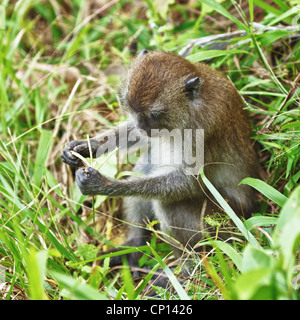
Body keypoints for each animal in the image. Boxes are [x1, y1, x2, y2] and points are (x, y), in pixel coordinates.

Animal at [61, 50, 260, 276]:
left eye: (154, 114)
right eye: (133, 109)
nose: (142, 126)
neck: (191, 107)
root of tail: (249, 210)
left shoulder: (202, 130)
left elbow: (191, 183)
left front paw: (104, 184)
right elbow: (136, 137)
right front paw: (85, 146)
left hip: (223, 225)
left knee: (168, 203)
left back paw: (188, 271)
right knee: (145, 165)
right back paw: (136, 243)